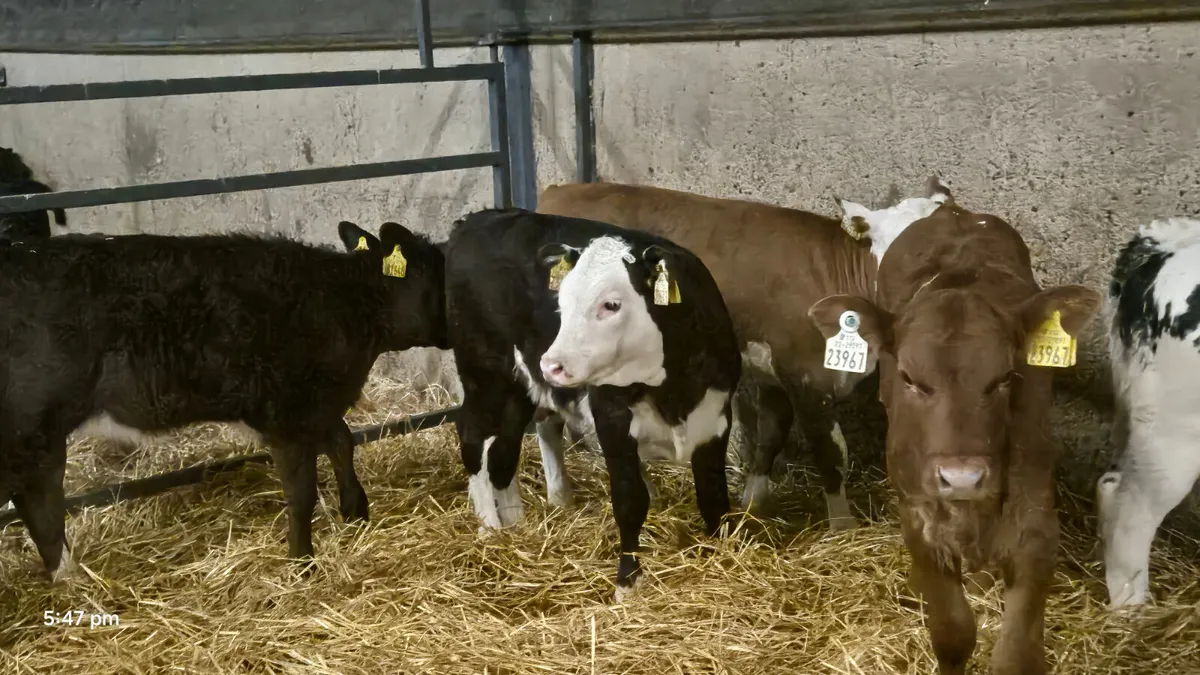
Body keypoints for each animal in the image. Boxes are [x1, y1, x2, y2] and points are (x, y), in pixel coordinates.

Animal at [0, 220, 446, 580]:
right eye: (433, 272)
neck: (343, 305)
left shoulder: (316, 405)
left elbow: (342, 443)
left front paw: (355, 511)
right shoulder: (285, 414)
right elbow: (302, 492)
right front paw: (302, 562)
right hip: (30, 426)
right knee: (36, 497)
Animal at [441, 208, 740, 599]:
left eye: (611, 304)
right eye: (562, 301)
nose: (552, 364)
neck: (672, 389)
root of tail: (478, 219)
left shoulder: (715, 417)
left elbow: (714, 496)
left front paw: (721, 554)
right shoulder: (612, 416)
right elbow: (630, 501)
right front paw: (627, 583)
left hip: (519, 387)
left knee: (503, 453)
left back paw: (515, 523)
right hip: (485, 373)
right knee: (473, 436)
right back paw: (489, 529)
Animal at [538, 181, 880, 528]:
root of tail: (559, 189)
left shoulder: (773, 374)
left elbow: (771, 434)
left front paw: (753, 501)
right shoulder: (807, 379)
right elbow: (832, 455)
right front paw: (843, 526)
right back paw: (567, 494)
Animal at [809, 181, 1101, 675]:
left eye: (1005, 377)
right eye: (908, 377)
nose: (962, 477)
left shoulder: (1036, 519)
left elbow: (1017, 654)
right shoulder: (918, 514)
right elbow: (951, 632)